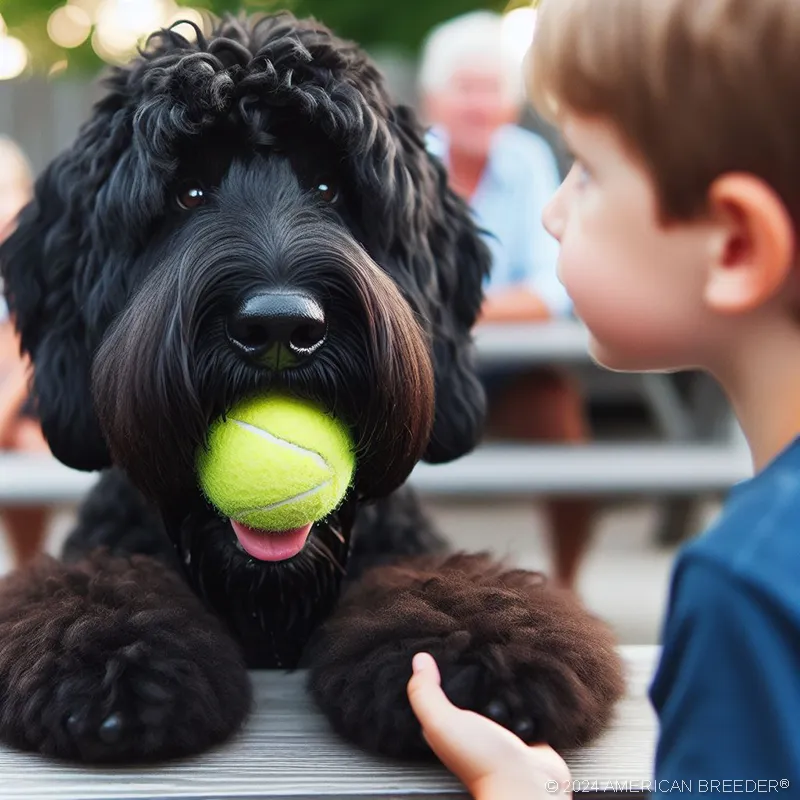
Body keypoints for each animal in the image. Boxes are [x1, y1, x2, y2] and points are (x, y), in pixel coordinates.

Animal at [0, 12, 624, 764]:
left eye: (330, 188)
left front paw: (478, 645)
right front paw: (113, 649)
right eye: (187, 192)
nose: (279, 325)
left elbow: (428, 582)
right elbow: (99, 584)